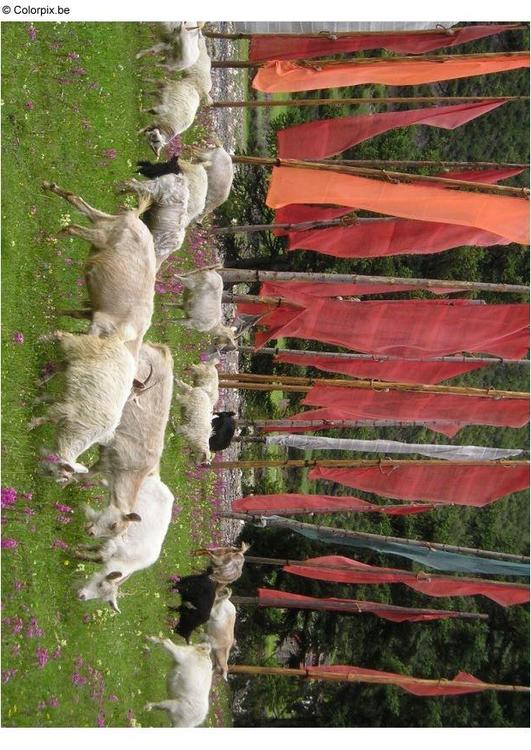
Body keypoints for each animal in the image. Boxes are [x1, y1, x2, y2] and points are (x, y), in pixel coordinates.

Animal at [28, 330, 137, 482]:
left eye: (51, 472)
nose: (36, 474)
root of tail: (119, 340)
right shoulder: (65, 411)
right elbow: (44, 419)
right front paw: (29, 425)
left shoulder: (66, 404)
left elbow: (49, 400)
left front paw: (36, 401)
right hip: (81, 346)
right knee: (61, 335)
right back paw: (42, 339)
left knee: (61, 365)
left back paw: (41, 380)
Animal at [42, 179, 155, 362]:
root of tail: (134, 217)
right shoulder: (101, 324)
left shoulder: (95, 312)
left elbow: (75, 313)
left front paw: (53, 312)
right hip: (102, 236)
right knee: (73, 227)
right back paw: (49, 238)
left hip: (106, 223)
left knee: (77, 200)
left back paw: (49, 186)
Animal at [77, 476, 174, 616]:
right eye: (99, 584)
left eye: (101, 599)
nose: (82, 597)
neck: (131, 561)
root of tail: (158, 481)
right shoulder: (115, 543)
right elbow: (100, 557)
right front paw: (78, 554)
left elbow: (99, 551)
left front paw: (81, 547)